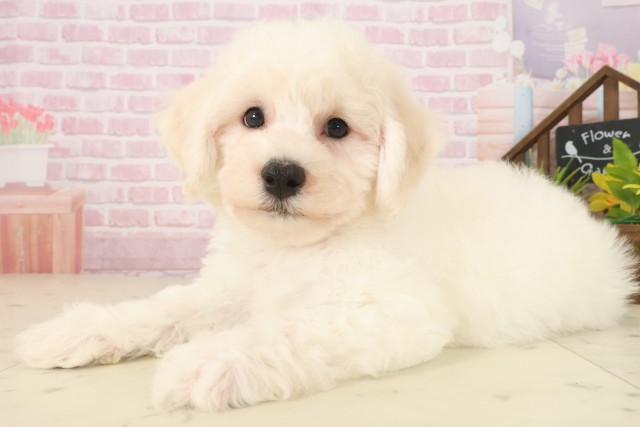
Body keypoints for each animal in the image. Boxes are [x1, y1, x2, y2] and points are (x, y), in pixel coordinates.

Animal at [15, 20, 638, 411]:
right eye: (252, 117)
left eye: (336, 127)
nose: (282, 174)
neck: (299, 247)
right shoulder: (228, 288)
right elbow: (164, 308)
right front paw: (75, 330)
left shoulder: (392, 309)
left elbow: (291, 328)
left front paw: (210, 362)